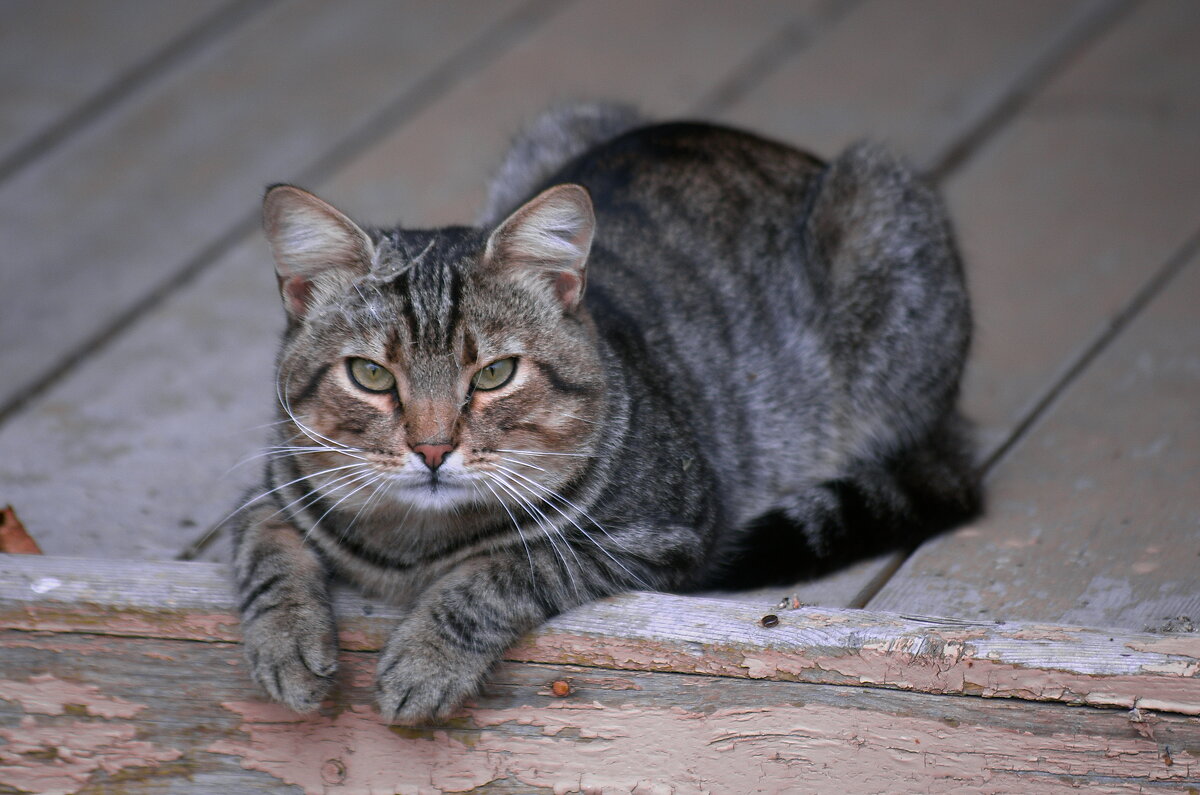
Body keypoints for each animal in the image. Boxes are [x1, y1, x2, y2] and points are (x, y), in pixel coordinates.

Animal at [229, 104, 979, 730]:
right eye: (372, 375)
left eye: (496, 373)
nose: (433, 448)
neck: (410, 547)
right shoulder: (272, 486)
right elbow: (263, 551)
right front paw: (286, 643)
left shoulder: (659, 537)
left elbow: (502, 569)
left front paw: (425, 660)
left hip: (884, 224)